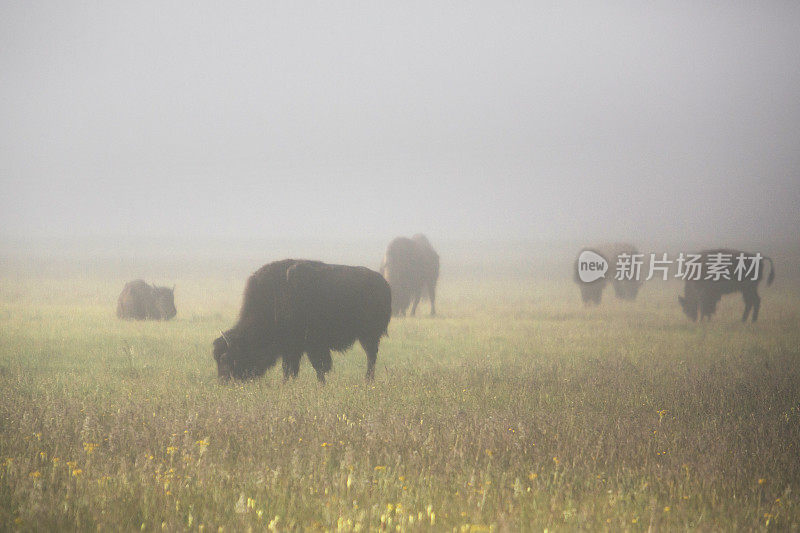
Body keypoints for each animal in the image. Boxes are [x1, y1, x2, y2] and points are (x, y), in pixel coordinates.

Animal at [211, 258, 390, 380]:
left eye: (226, 358)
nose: (224, 382)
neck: (274, 299)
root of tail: (384, 283)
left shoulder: (310, 345)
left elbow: (318, 367)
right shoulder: (292, 348)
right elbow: (289, 369)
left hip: (369, 335)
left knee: (371, 357)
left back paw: (368, 380)